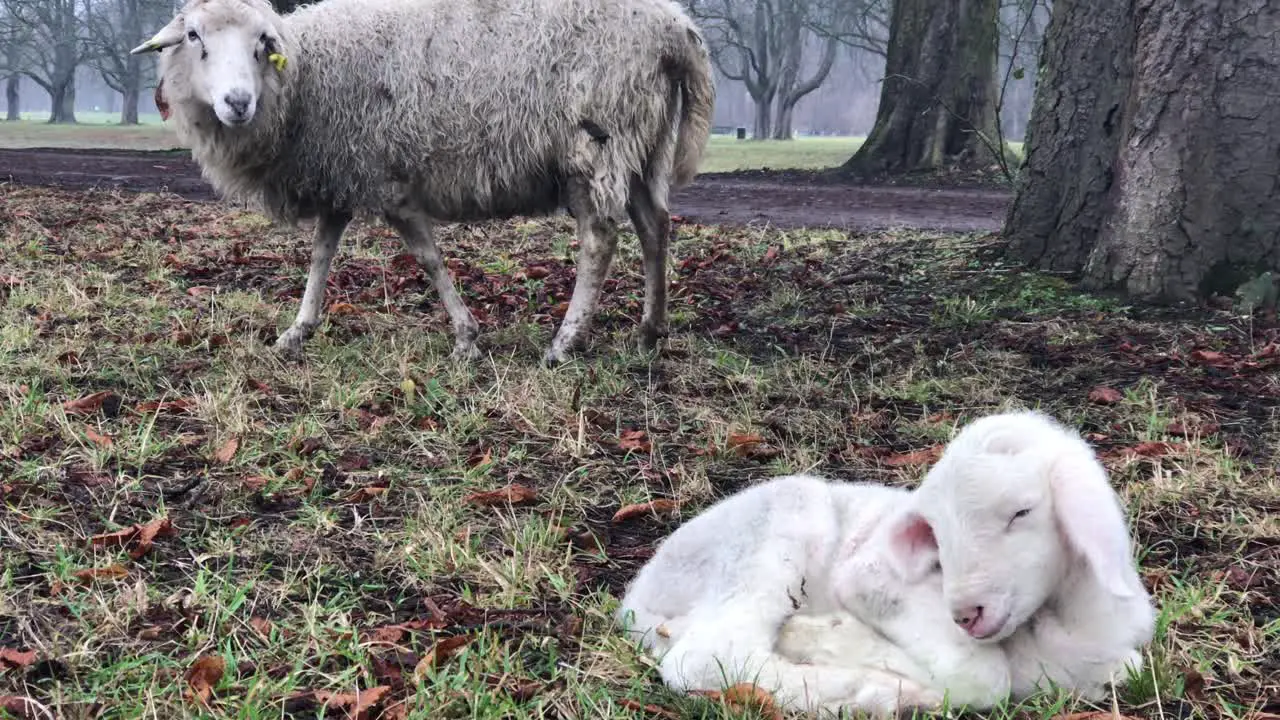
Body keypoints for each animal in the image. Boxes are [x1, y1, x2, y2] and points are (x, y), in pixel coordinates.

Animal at [133, 0, 716, 363]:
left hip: (599, 142)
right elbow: (322, 253)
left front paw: (466, 338)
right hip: (643, 143)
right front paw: (299, 329)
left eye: (261, 42)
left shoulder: (389, 180)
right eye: (193, 36)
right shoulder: (342, 170)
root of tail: (678, 28)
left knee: (600, 238)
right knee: (655, 226)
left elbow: (428, 257)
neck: (305, 79)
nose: (237, 102)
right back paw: (651, 329)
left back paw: (566, 342)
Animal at [614, 471, 1013, 712]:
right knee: (706, 656)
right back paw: (872, 690)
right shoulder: (881, 577)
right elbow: (986, 676)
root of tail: (638, 597)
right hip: (785, 513)